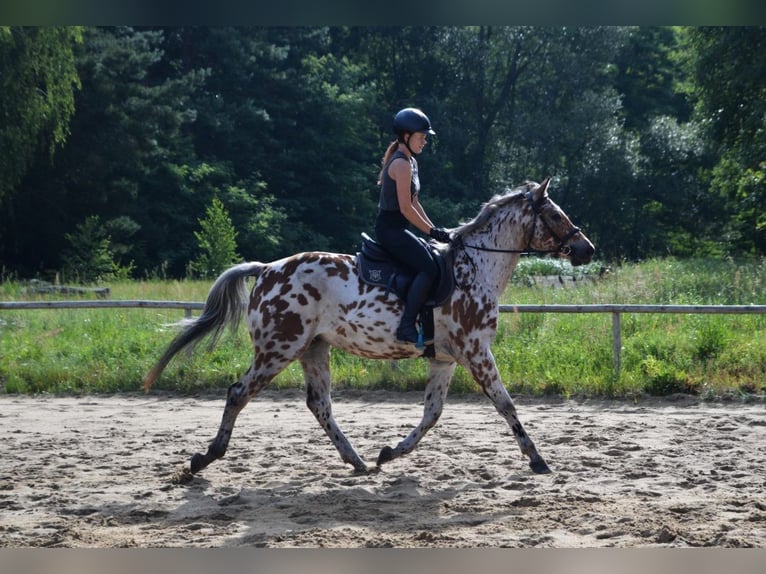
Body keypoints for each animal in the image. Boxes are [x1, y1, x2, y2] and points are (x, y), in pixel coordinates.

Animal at [147, 179, 596, 476]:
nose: (586, 249)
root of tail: (267, 269)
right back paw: (204, 458)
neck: (477, 267)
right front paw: (537, 459)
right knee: (239, 393)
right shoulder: (476, 352)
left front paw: (389, 453)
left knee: (319, 404)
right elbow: (506, 405)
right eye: (555, 215)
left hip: (313, 348)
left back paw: (359, 461)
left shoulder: (447, 359)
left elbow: (432, 414)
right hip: (279, 349)